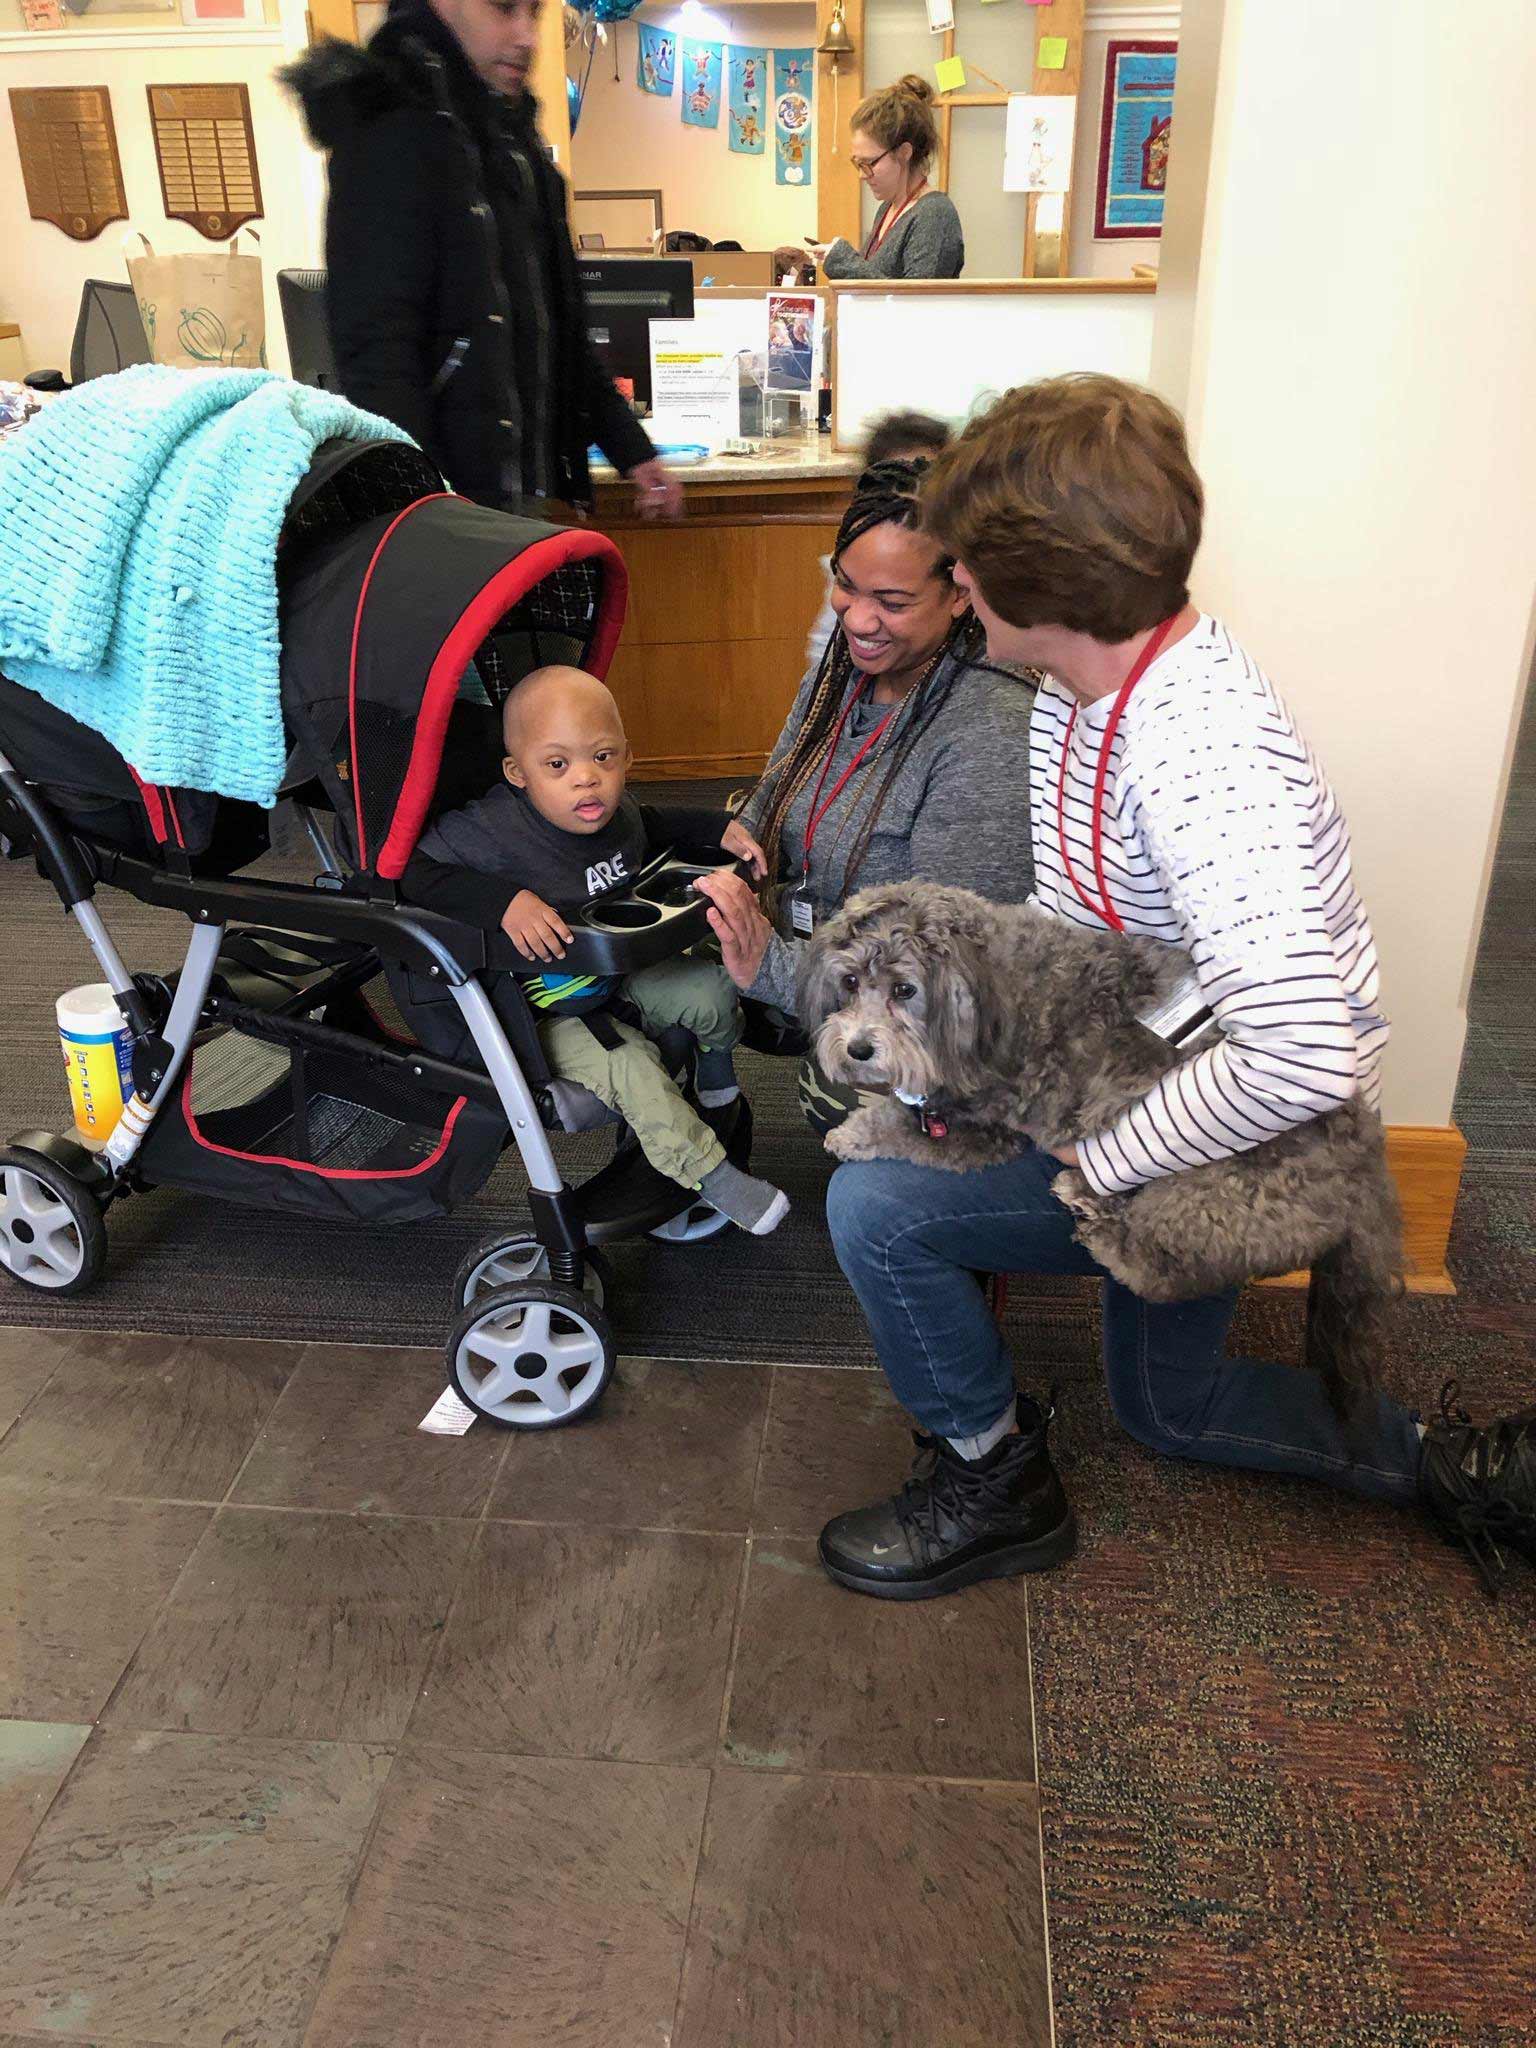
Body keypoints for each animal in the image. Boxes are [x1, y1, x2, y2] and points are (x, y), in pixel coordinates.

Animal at [806, 880, 1409, 1425]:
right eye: (851, 981)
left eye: (905, 990)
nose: (857, 1048)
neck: (986, 982)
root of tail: (1368, 1172)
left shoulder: (986, 1128)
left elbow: (906, 1128)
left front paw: (854, 1134)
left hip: (1200, 1194)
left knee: (1158, 1273)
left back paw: (1092, 1209)